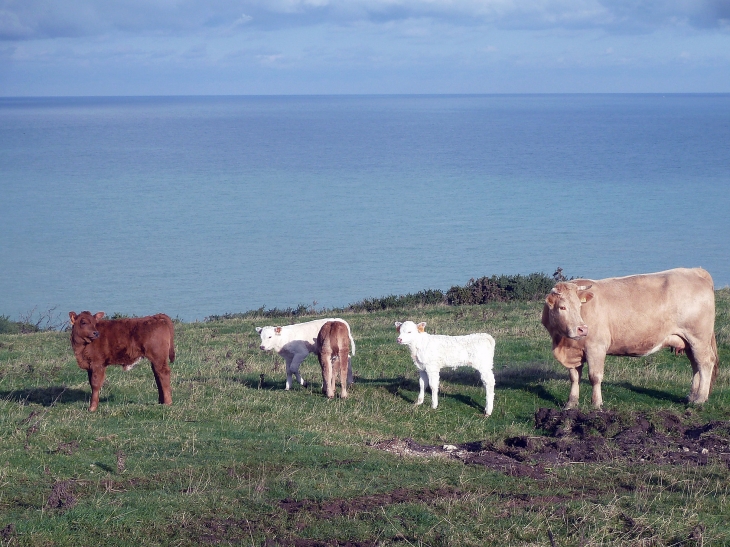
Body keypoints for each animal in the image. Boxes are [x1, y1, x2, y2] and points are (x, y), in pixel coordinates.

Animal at [540, 268, 716, 408]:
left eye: (579, 306)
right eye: (562, 307)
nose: (582, 329)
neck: (562, 342)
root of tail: (695, 271)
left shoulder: (596, 347)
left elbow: (595, 377)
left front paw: (596, 403)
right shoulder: (573, 352)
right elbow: (574, 377)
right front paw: (571, 403)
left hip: (699, 338)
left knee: (705, 363)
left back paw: (700, 399)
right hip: (689, 342)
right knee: (695, 365)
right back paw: (691, 396)